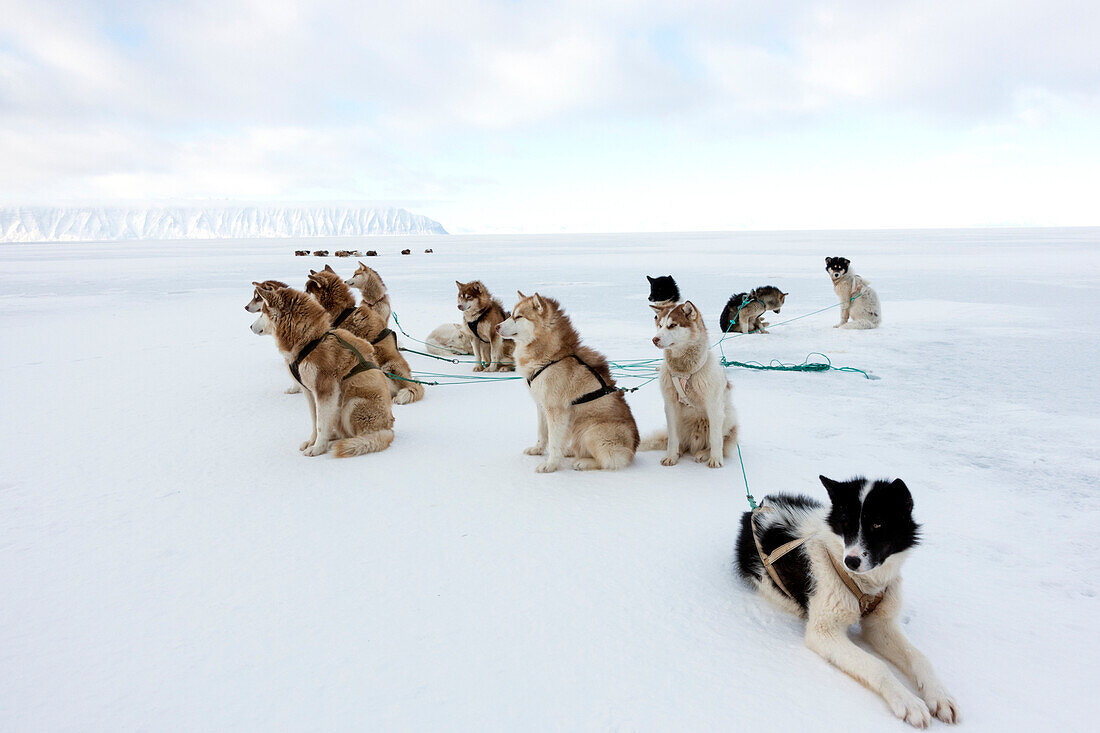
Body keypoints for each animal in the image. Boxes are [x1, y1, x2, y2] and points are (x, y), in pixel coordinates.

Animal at [251, 280, 393, 457]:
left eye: (262, 313)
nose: (250, 326)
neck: (311, 341)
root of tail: (389, 429)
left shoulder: (326, 392)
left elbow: (321, 424)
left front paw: (317, 448)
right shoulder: (309, 392)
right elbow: (315, 420)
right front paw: (313, 441)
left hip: (351, 404)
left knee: (360, 435)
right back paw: (332, 436)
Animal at [497, 292, 642, 471]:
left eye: (518, 316)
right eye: (511, 314)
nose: (496, 327)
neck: (552, 357)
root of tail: (633, 447)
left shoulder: (556, 410)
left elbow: (553, 441)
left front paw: (550, 465)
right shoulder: (541, 405)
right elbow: (542, 433)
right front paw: (538, 449)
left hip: (590, 430)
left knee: (609, 461)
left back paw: (583, 462)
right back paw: (570, 451)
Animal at [642, 299, 739, 464]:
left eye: (672, 325)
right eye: (660, 325)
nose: (655, 339)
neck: (684, 372)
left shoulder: (714, 406)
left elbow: (716, 439)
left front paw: (715, 459)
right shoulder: (670, 405)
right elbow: (672, 438)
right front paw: (671, 456)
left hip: (727, 416)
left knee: (719, 440)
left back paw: (704, 453)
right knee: (679, 440)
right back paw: (679, 451)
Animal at [734, 473, 959, 726]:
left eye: (877, 525)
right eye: (845, 524)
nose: (850, 561)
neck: (865, 583)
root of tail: (758, 508)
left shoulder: (881, 625)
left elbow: (920, 657)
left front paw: (940, 695)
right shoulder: (823, 632)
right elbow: (878, 665)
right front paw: (907, 701)